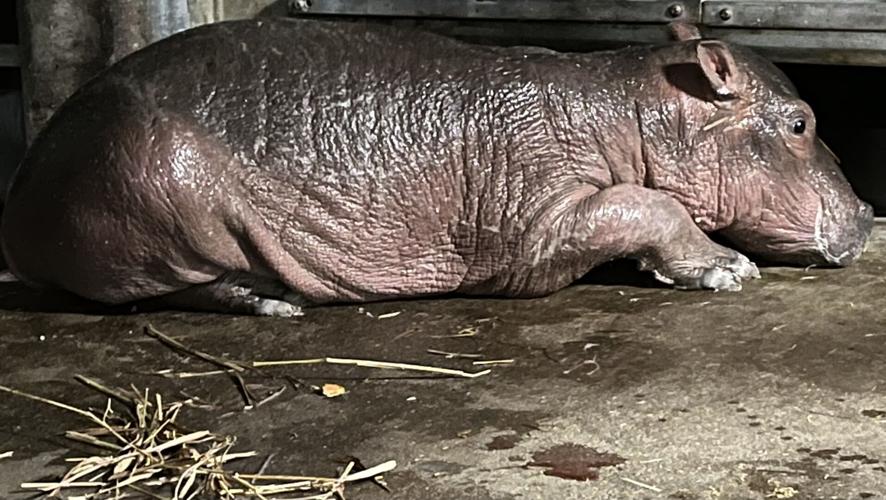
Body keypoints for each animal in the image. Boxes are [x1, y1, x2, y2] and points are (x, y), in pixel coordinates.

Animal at [0, 18, 873, 316]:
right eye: (802, 121)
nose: (868, 213)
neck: (632, 110)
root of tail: (24, 187)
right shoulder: (537, 217)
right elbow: (646, 204)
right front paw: (729, 270)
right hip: (162, 193)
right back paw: (277, 302)